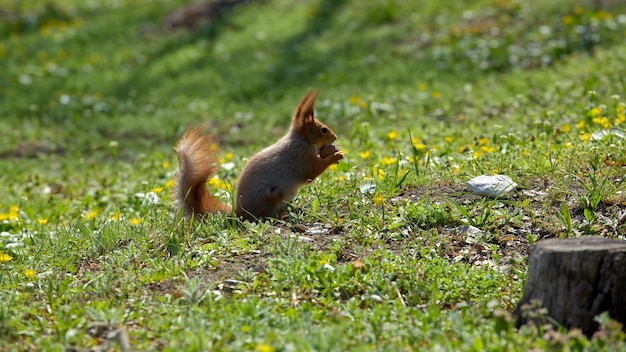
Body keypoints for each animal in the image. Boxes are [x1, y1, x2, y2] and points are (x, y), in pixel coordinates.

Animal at [173, 91, 344, 223]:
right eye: (323, 130)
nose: (335, 137)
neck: (301, 140)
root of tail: (239, 214)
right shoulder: (300, 157)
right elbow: (311, 172)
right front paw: (335, 156)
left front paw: (333, 151)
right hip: (273, 195)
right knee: (268, 216)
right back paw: (282, 216)